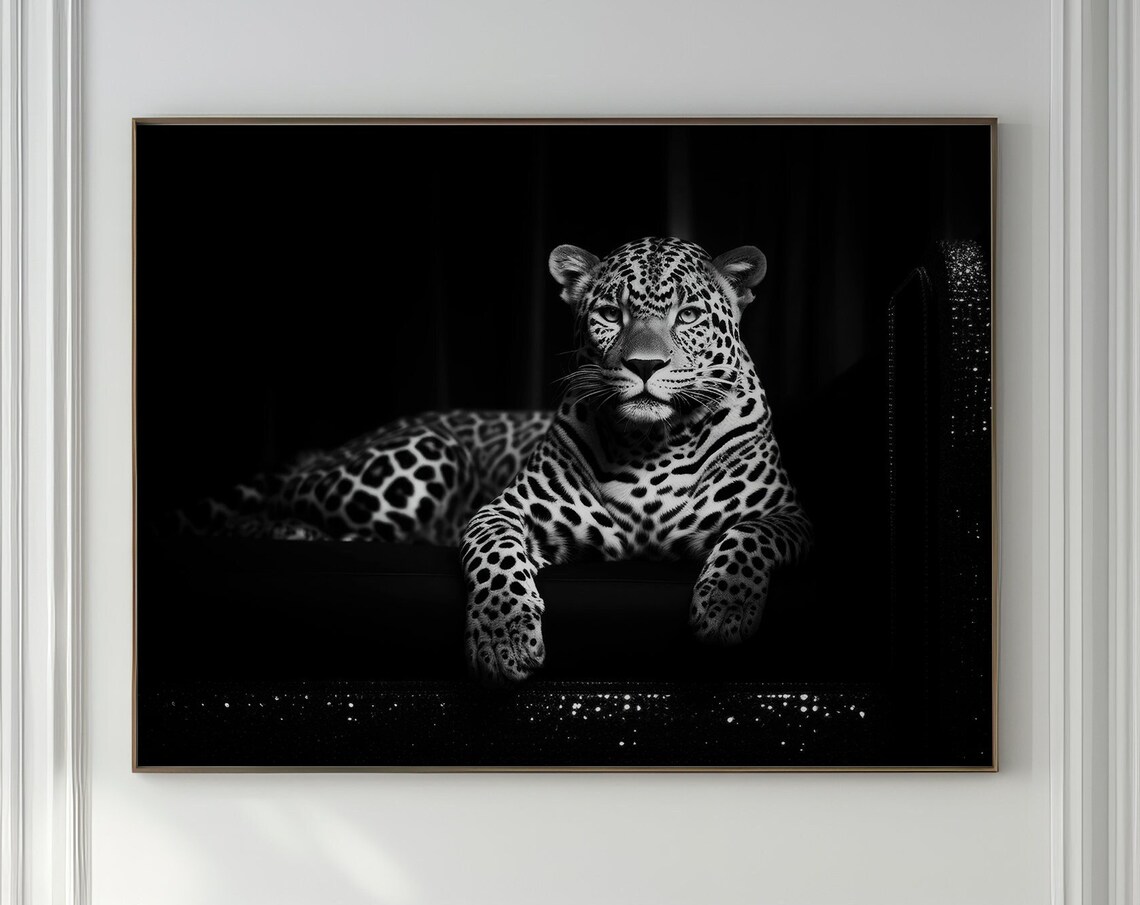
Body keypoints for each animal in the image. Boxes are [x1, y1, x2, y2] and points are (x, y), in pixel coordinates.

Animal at [461, 236, 812, 684]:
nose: (645, 365)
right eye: (611, 315)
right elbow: (496, 555)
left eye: (688, 315)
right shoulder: (503, 510)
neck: (651, 443)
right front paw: (502, 635)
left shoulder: (790, 515)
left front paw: (725, 610)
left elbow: (749, 534)